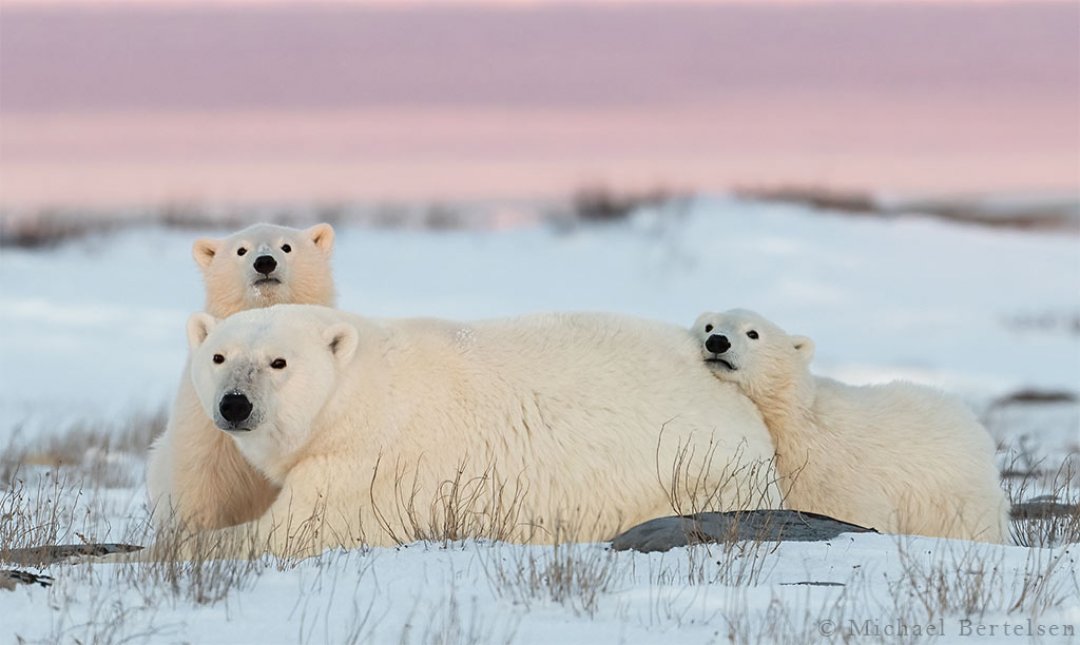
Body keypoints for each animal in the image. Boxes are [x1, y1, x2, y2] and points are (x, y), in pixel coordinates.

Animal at [169, 304, 781, 556]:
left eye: (279, 362)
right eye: (219, 355)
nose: (235, 405)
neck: (362, 393)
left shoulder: (367, 465)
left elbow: (292, 532)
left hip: (696, 470)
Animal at [692, 308, 1010, 543]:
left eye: (753, 333)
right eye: (708, 325)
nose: (718, 341)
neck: (795, 421)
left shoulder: (828, 475)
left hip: (950, 497)